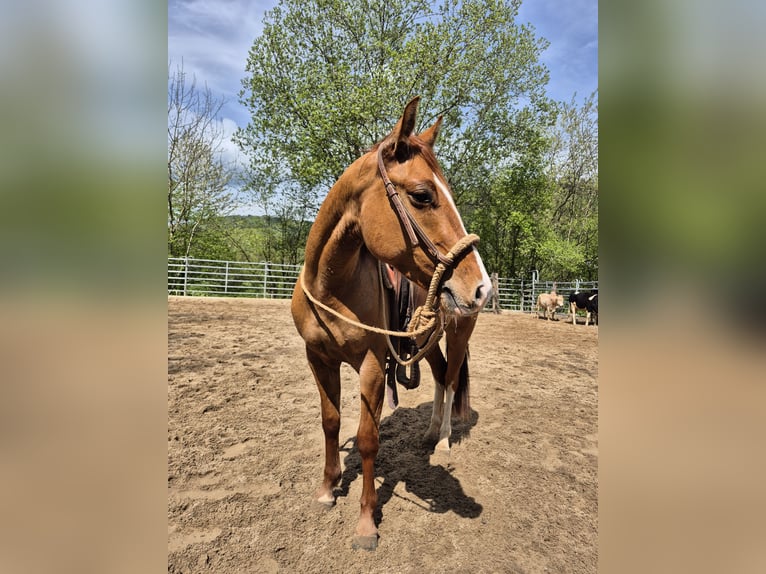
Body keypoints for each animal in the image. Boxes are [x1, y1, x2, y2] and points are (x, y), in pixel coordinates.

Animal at [291, 97, 490, 550]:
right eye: (422, 195)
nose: (480, 287)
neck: (331, 286)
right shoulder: (318, 359)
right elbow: (331, 423)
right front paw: (327, 489)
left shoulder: (370, 366)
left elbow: (368, 439)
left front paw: (366, 523)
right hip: (427, 340)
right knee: (438, 375)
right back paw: (429, 434)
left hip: (459, 333)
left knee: (451, 377)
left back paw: (444, 440)